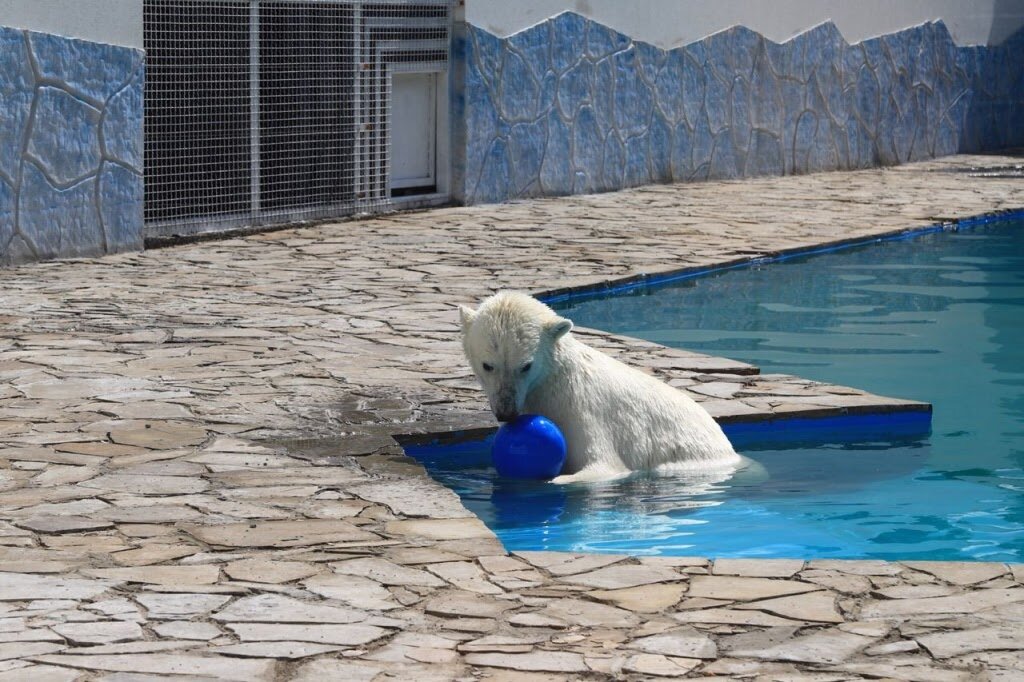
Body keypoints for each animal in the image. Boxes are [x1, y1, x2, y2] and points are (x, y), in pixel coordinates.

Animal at [460, 288, 741, 481]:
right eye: (488, 365)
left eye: (525, 365)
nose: (506, 413)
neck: (551, 382)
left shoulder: (581, 409)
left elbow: (602, 464)